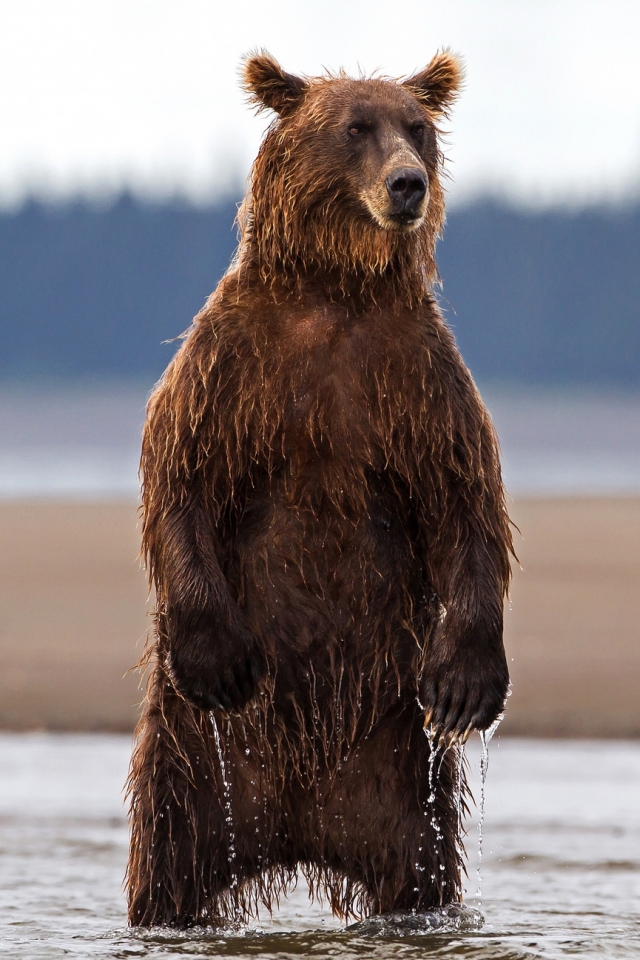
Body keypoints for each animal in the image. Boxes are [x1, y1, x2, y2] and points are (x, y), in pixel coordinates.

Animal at [127, 48, 512, 928]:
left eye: (418, 127)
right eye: (356, 126)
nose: (408, 184)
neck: (336, 288)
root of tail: (300, 826)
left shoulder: (416, 377)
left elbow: (466, 500)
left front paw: (468, 684)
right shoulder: (233, 366)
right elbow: (181, 477)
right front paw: (218, 656)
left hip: (399, 775)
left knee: (421, 873)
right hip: (197, 765)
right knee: (168, 866)